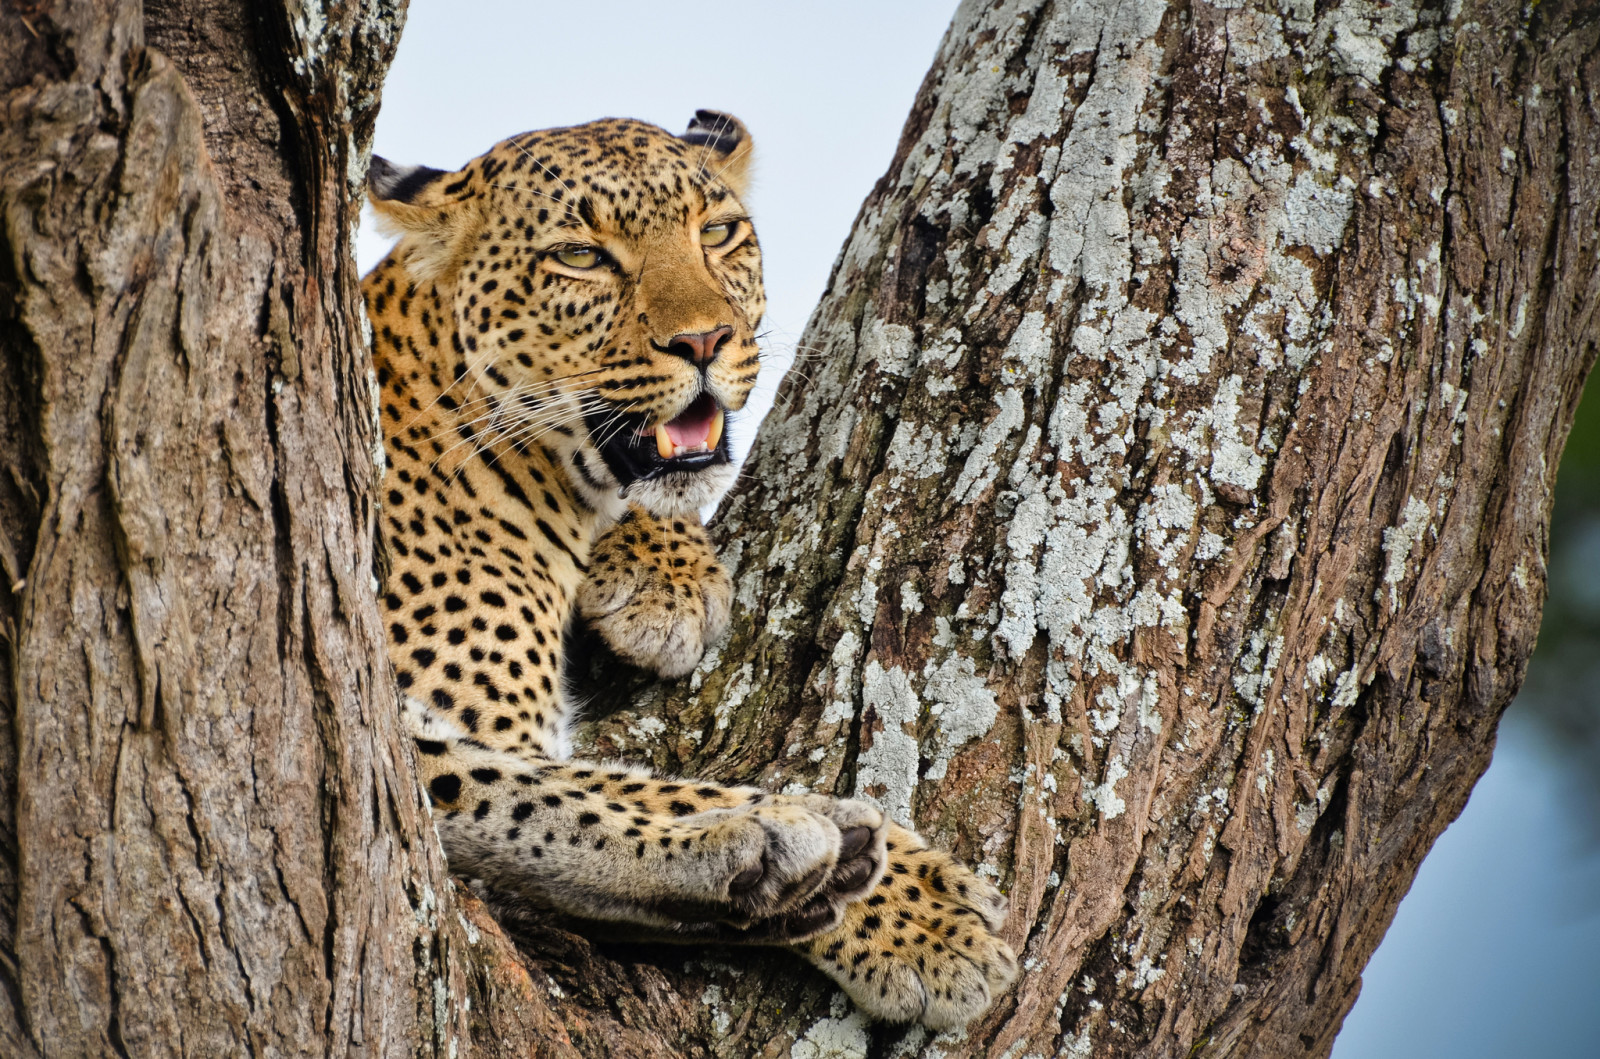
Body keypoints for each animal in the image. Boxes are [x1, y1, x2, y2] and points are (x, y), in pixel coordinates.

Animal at [363, 107, 1011, 1030]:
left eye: (717, 232)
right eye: (580, 255)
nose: (704, 340)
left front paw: (659, 575)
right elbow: (605, 786)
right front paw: (914, 911)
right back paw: (781, 855)